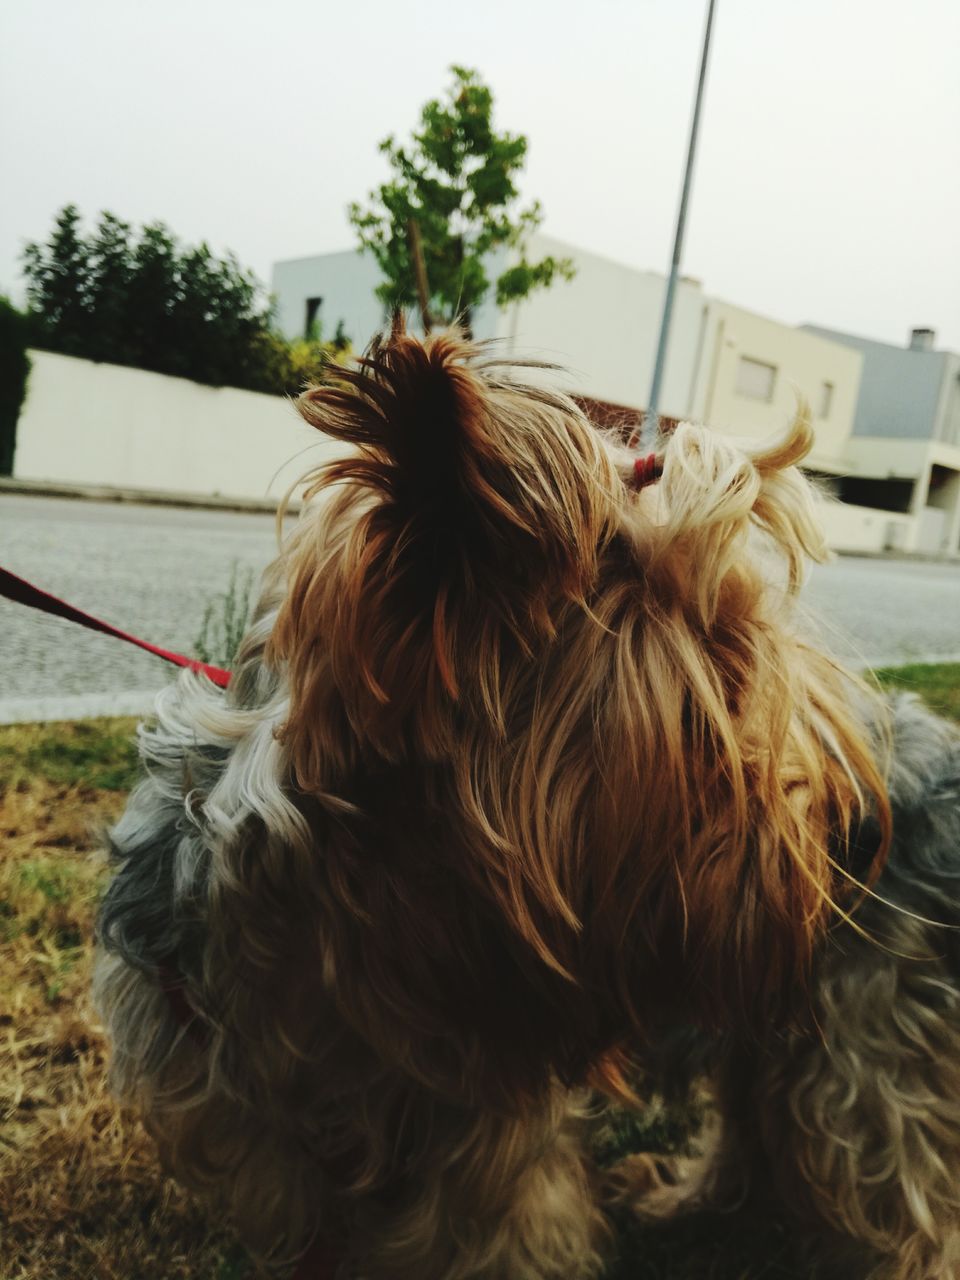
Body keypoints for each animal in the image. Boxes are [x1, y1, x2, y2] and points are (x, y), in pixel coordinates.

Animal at [94, 325, 957, 1274]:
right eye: (719, 690)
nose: (862, 836)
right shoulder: (262, 1140)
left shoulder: (493, 1161)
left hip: (869, 1032)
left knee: (894, 1173)